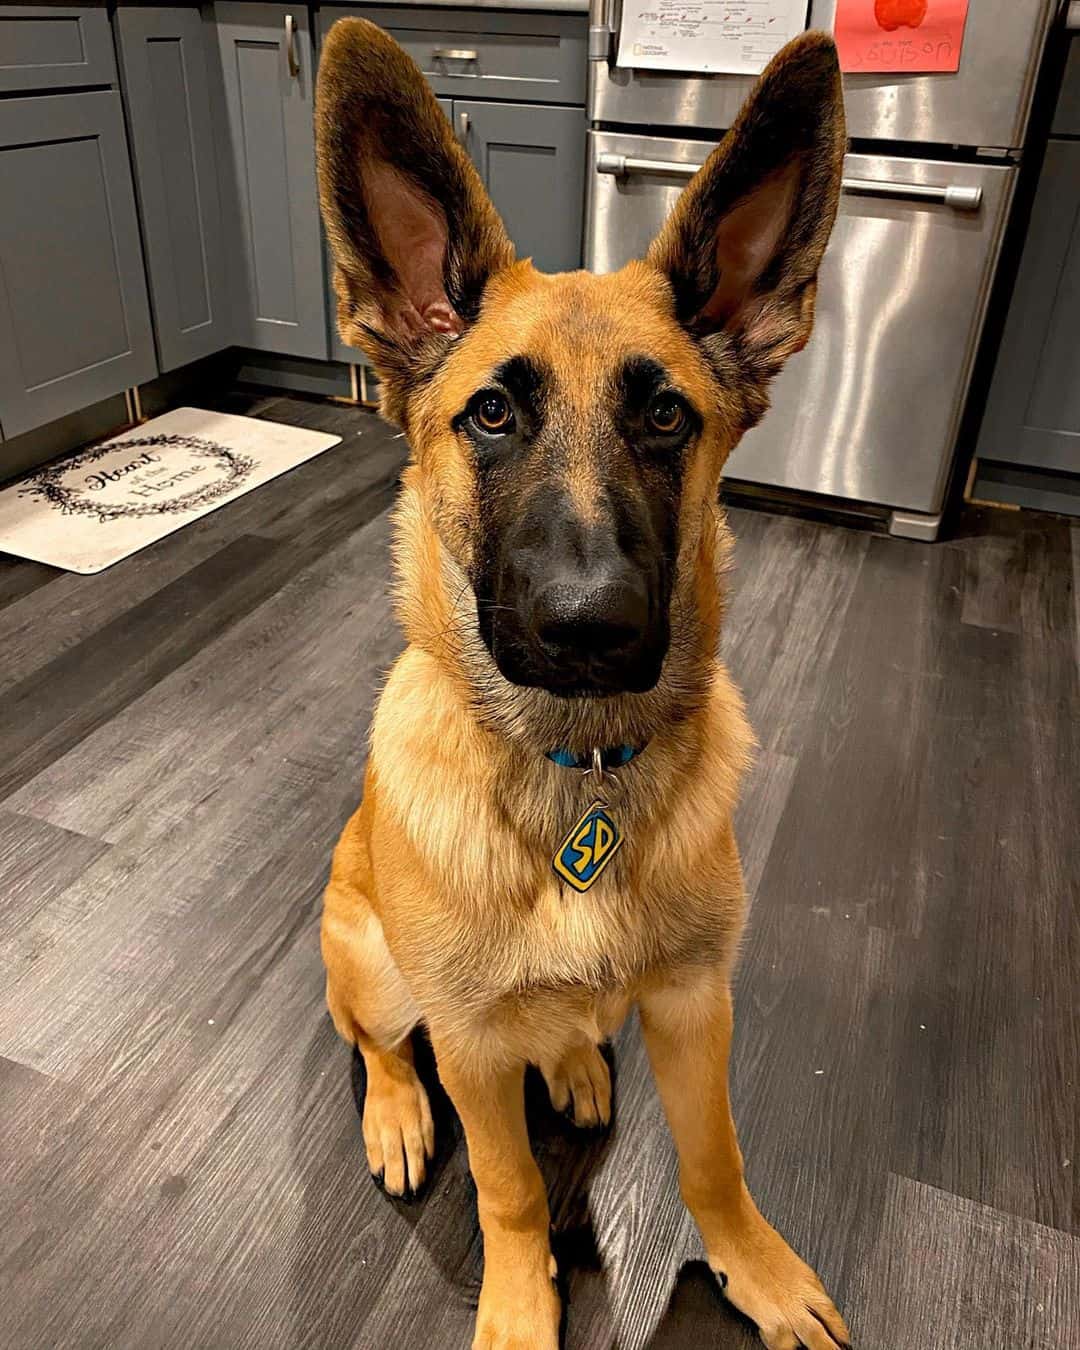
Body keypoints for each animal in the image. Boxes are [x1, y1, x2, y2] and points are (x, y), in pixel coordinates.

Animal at [315, 21, 847, 1350]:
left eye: (664, 416)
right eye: (492, 414)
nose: (591, 629)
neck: (578, 764)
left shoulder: (697, 1003)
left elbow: (713, 1159)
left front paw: (751, 1268)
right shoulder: (465, 1038)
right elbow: (506, 1187)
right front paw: (520, 1304)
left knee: (562, 1029)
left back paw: (569, 1061)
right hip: (374, 968)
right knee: (374, 1044)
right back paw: (399, 1111)